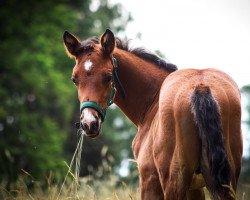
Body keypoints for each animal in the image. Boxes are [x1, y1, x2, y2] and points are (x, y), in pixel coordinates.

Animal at [62, 28, 242, 199]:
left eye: (107, 77)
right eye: (74, 79)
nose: (89, 123)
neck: (152, 102)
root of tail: (201, 86)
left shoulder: (149, 179)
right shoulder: (195, 189)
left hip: (173, 181)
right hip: (226, 181)